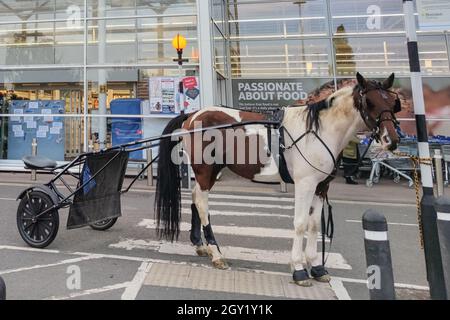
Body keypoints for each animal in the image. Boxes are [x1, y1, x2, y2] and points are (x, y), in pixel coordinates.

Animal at [155, 73, 400, 288]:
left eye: (393, 102)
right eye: (369, 102)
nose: (392, 139)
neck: (318, 130)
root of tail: (194, 114)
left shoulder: (321, 186)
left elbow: (314, 224)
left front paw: (316, 267)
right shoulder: (305, 184)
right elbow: (300, 224)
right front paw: (299, 269)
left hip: (212, 171)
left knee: (196, 199)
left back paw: (200, 245)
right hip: (205, 170)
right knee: (202, 204)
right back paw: (216, 253)